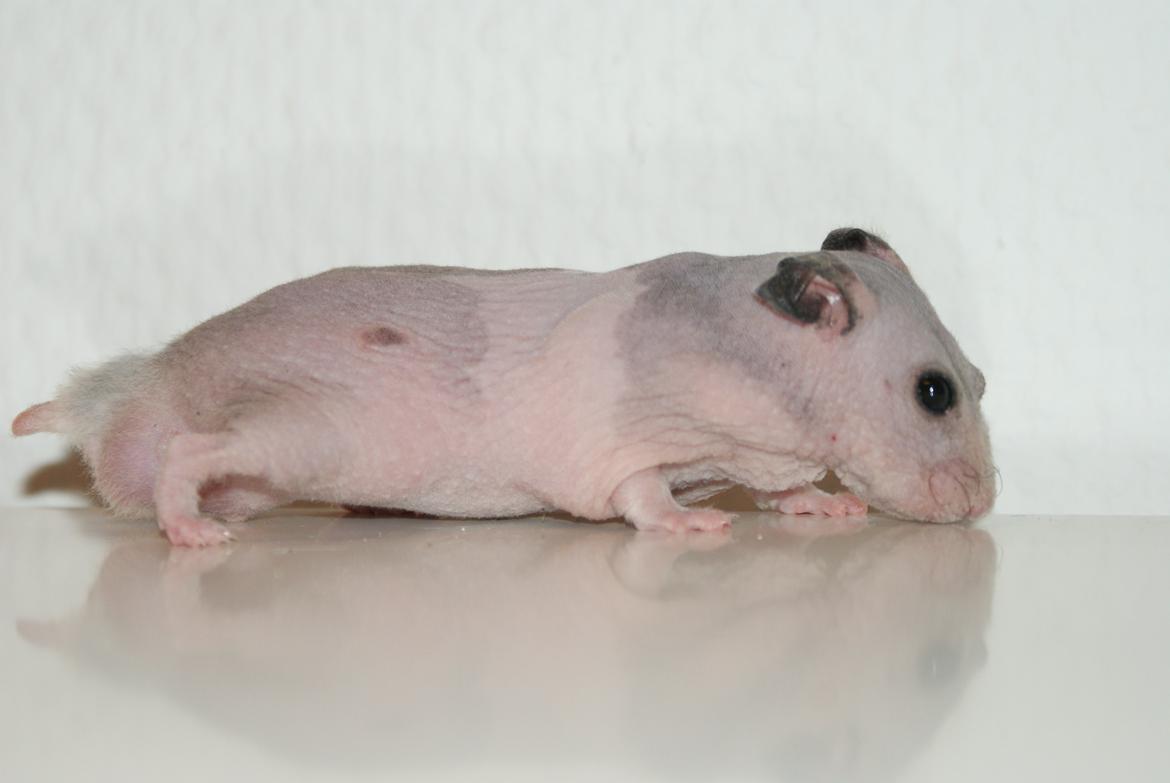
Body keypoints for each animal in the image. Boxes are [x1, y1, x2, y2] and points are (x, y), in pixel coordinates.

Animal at [12, 228, 995, 546]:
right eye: (934, 393)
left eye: (981, 379)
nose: (982, 503)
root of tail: (153, 377)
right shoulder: (626, 441)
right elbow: (637, 492)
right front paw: (685, 518)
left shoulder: (757, 448)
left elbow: (782, 484)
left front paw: (814, 502)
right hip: (308, 432)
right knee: (194, 447)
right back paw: (186, 522)